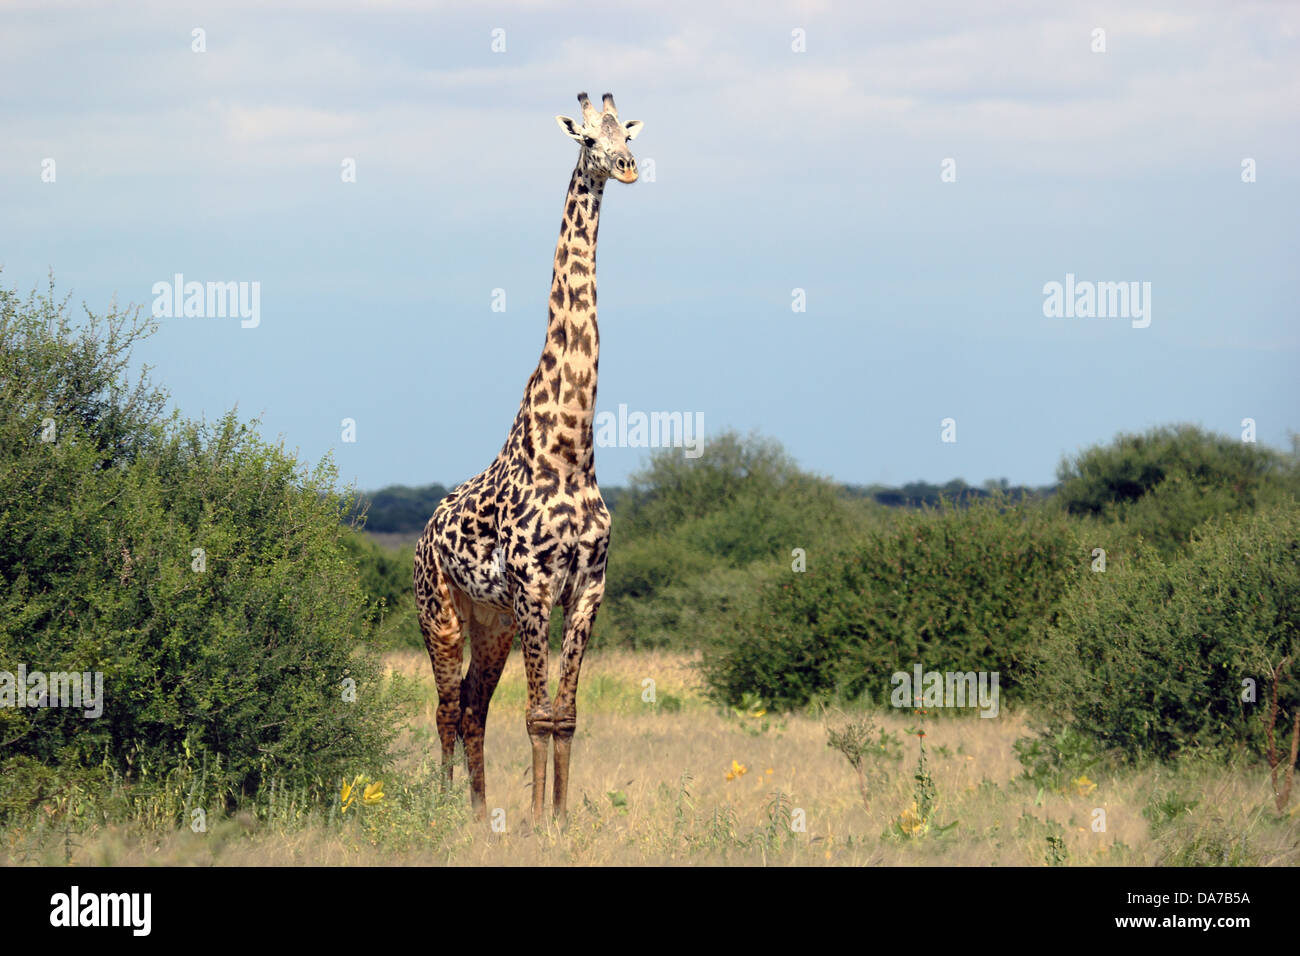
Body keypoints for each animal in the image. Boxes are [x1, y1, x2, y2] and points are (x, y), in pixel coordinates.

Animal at [413, 89, 642, 827]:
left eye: (627, 133)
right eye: (588, 140)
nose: (627, 167)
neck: (569, 449)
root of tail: (422, 534)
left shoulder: (587, 588)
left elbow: (564, 716)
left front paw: (559, 820)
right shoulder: (536, 586)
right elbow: (539, 715)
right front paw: (539, 825)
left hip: (493, 622)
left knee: (473, 707)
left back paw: (481, 813)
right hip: (441, 610)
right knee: (446, 708)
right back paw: (445, 809)